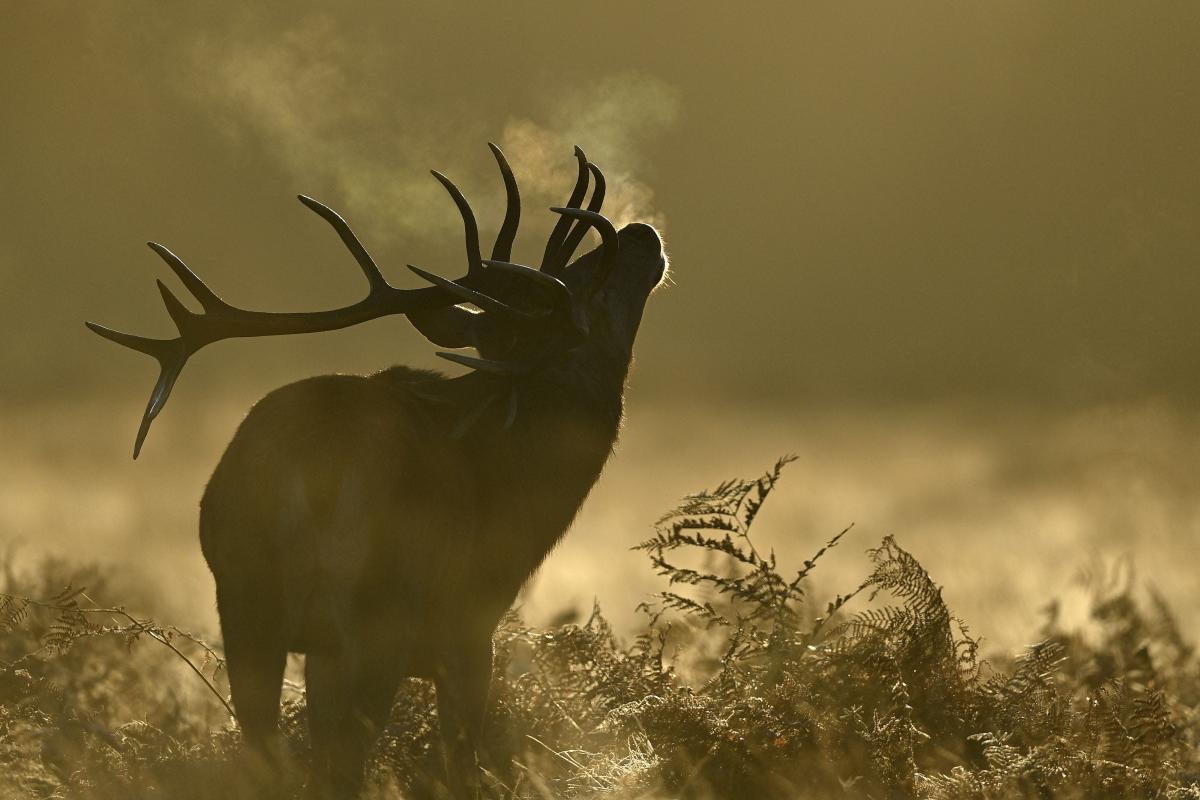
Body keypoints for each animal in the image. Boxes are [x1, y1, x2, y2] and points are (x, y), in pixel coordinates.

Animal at [88, 145, 672, 800]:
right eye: (586, 292)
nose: (641, 232)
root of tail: (306, 466)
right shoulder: (470, 628)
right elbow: (459, 763)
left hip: (243, 597)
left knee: (267, 752)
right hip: (374, 612)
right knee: (342, 762)